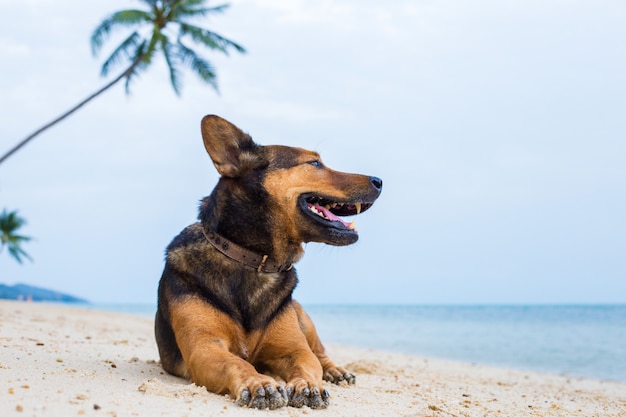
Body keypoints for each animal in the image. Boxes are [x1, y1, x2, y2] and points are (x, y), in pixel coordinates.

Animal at [156, 115, 380, 408]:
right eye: (315, 163)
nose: (379, 181)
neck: (252, 260)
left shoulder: (295, 349)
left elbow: (308, 363)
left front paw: (308, 386)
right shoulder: (204, 347)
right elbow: (237, 363)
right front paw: (259, 383)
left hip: (302, 316)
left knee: (320, 353)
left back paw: (336, 371)